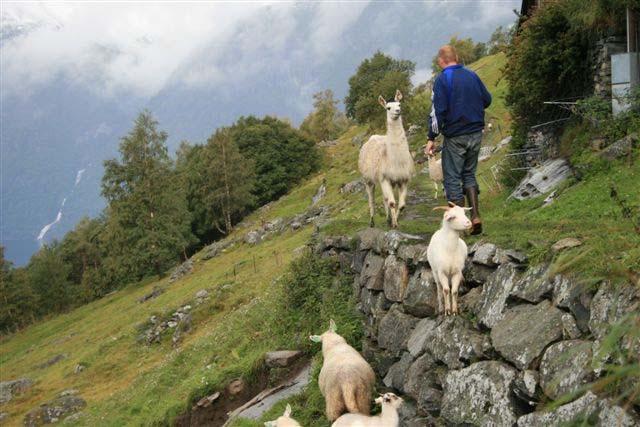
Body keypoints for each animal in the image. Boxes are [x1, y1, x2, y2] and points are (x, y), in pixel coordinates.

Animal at [360, 90, 416, 229]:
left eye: (399, 104)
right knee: (372, 199)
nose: (398, 111)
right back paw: (372, 221)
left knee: (385, 199)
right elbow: (392, 203)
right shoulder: (385, 178)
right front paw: (394, 224)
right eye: (388, 107)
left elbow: (401, 205)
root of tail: (372, 137)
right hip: (368, 180)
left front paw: (395, 220)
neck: (396, 161)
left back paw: (387, 219)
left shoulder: (403, 179)